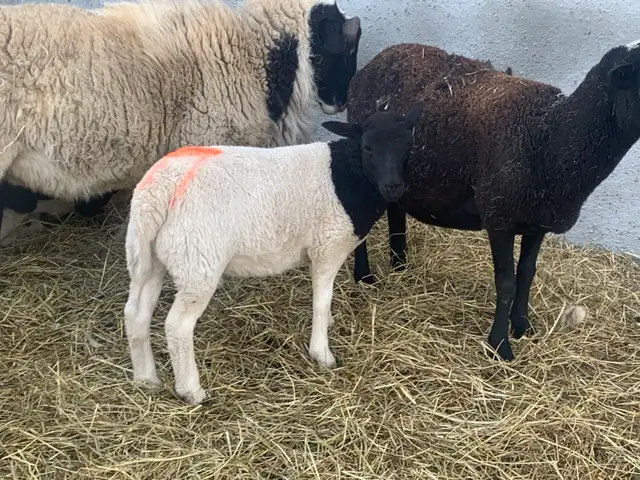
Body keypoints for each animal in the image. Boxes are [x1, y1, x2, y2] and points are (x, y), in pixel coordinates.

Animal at [123, 102, 424, 404]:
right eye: (367, 148)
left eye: (408, 145)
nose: (393, 187)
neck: (348, 177)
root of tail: (159, 190)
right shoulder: (327, 247)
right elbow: (321, 300)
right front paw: (322, 353)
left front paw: (328, 324)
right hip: (197, 262)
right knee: (178, 326)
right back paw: (191, 391)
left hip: (148, 258)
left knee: (135, 313)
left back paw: (147, 379)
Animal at [346, 40, 640, 361]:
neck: (549, 137)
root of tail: (375, 61)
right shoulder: (499, 217)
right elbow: (507, 282)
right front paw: (500, 345)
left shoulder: (537, 221)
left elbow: (527, 274)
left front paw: (523, 326)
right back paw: (364, 276)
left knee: (395, 209)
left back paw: (400, 265)